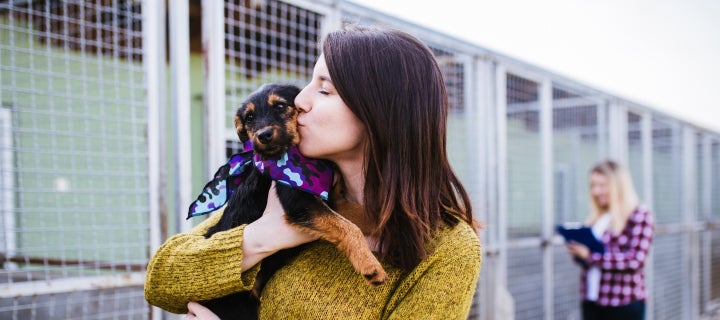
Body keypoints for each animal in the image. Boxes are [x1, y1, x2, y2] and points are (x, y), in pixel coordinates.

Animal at [197, 84, 388, 318]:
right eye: (249, 117)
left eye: (280, 106)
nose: (263, 135)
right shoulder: (300, 202)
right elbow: (348, 227)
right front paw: (370, 265)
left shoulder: (331, 199)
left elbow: (357, 214)